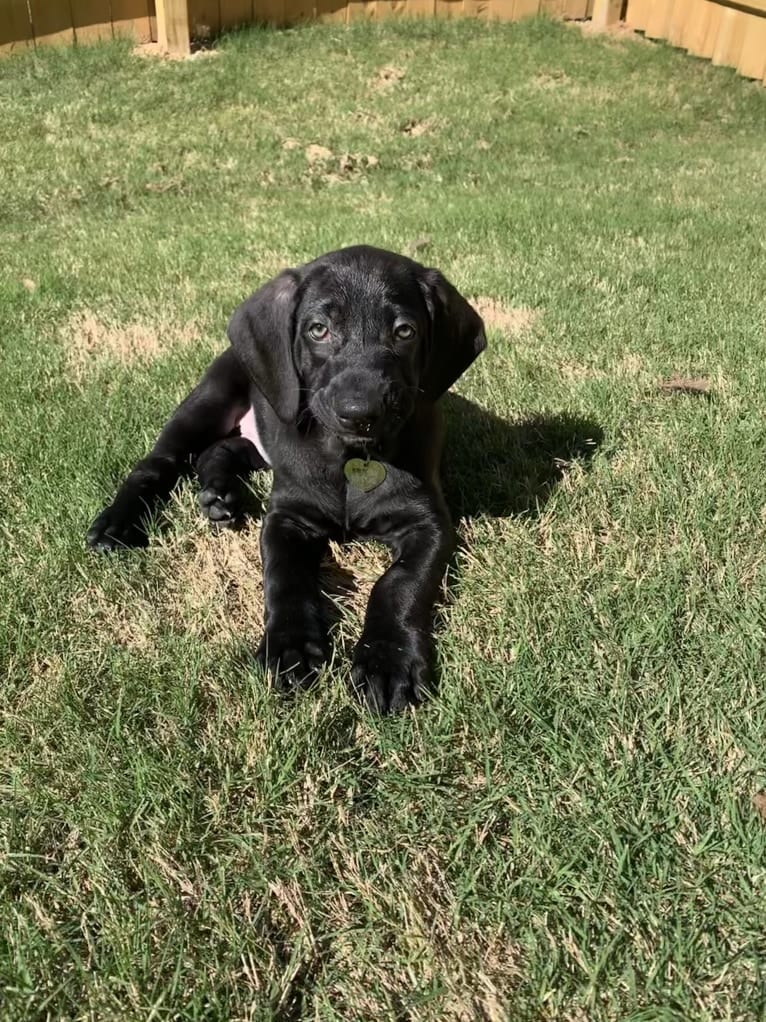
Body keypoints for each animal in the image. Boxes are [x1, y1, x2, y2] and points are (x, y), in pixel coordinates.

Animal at [88, 245, 486, 711]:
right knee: (159, 463)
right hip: (211, 396)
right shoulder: (286, 516)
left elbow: (400, 583)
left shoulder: (428, 523)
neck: (349, 458)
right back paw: (118, 524)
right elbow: (285, 577)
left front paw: (388, 660)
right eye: (318, 329)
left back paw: (220, 495)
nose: (360, 412)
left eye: (404, 331)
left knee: (220, 450)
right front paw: (291, 646)